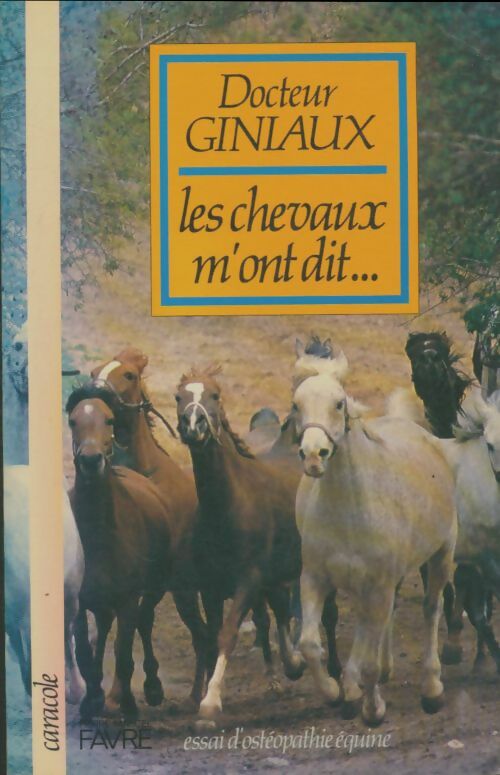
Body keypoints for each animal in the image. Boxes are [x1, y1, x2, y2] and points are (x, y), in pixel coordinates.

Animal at [66, 384, 204, 721]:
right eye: (73, 421)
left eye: (109, 420)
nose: (91, 460)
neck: (98, 534)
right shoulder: (80, 598)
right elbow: (85, 650)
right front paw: (92, 700)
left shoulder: (128, 597)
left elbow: (124, 649)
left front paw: (124, 702)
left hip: (160, 586)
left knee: (146, 621)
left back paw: (154, 689)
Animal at [175, 367, 307, 729]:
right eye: (179, 396)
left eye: (215, 395)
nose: (194, 424)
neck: (228, 507)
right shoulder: (210, 587)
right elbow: (213, 635)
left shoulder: (248, 580)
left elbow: (228, 634)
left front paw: (210, 705)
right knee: (280, 612)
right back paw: (292, 665)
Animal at [293, 350, 457, 725]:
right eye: (297, 404)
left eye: (339, 403)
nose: (313, 455)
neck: (349, 507)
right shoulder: (315, 578)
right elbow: (310, 644)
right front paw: (334, 692)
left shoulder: (378, 584)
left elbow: (366, 656)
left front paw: (372, 709)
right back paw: (374, 676)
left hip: (441, 555)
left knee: (430, 609)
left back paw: (431, 688)